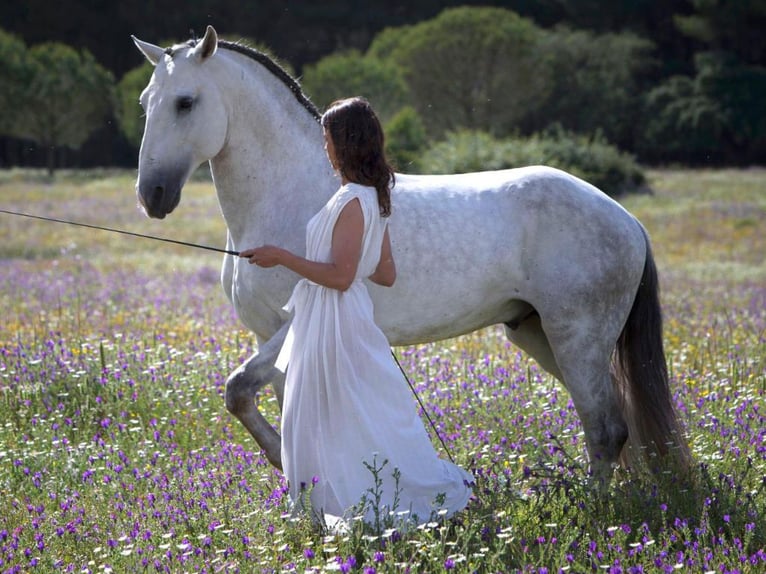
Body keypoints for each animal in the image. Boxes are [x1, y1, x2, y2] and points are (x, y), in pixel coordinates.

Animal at [132, 27, 688, 486]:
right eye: (145, 102)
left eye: (185, 102)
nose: (152, 195)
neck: (292, 194)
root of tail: (625, 218)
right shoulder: (265, 334)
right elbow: (271, 407)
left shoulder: (293, 324)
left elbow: (237, 390)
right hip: (539, 334)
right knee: (615, 421)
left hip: (577, 338)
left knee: (605, 429)